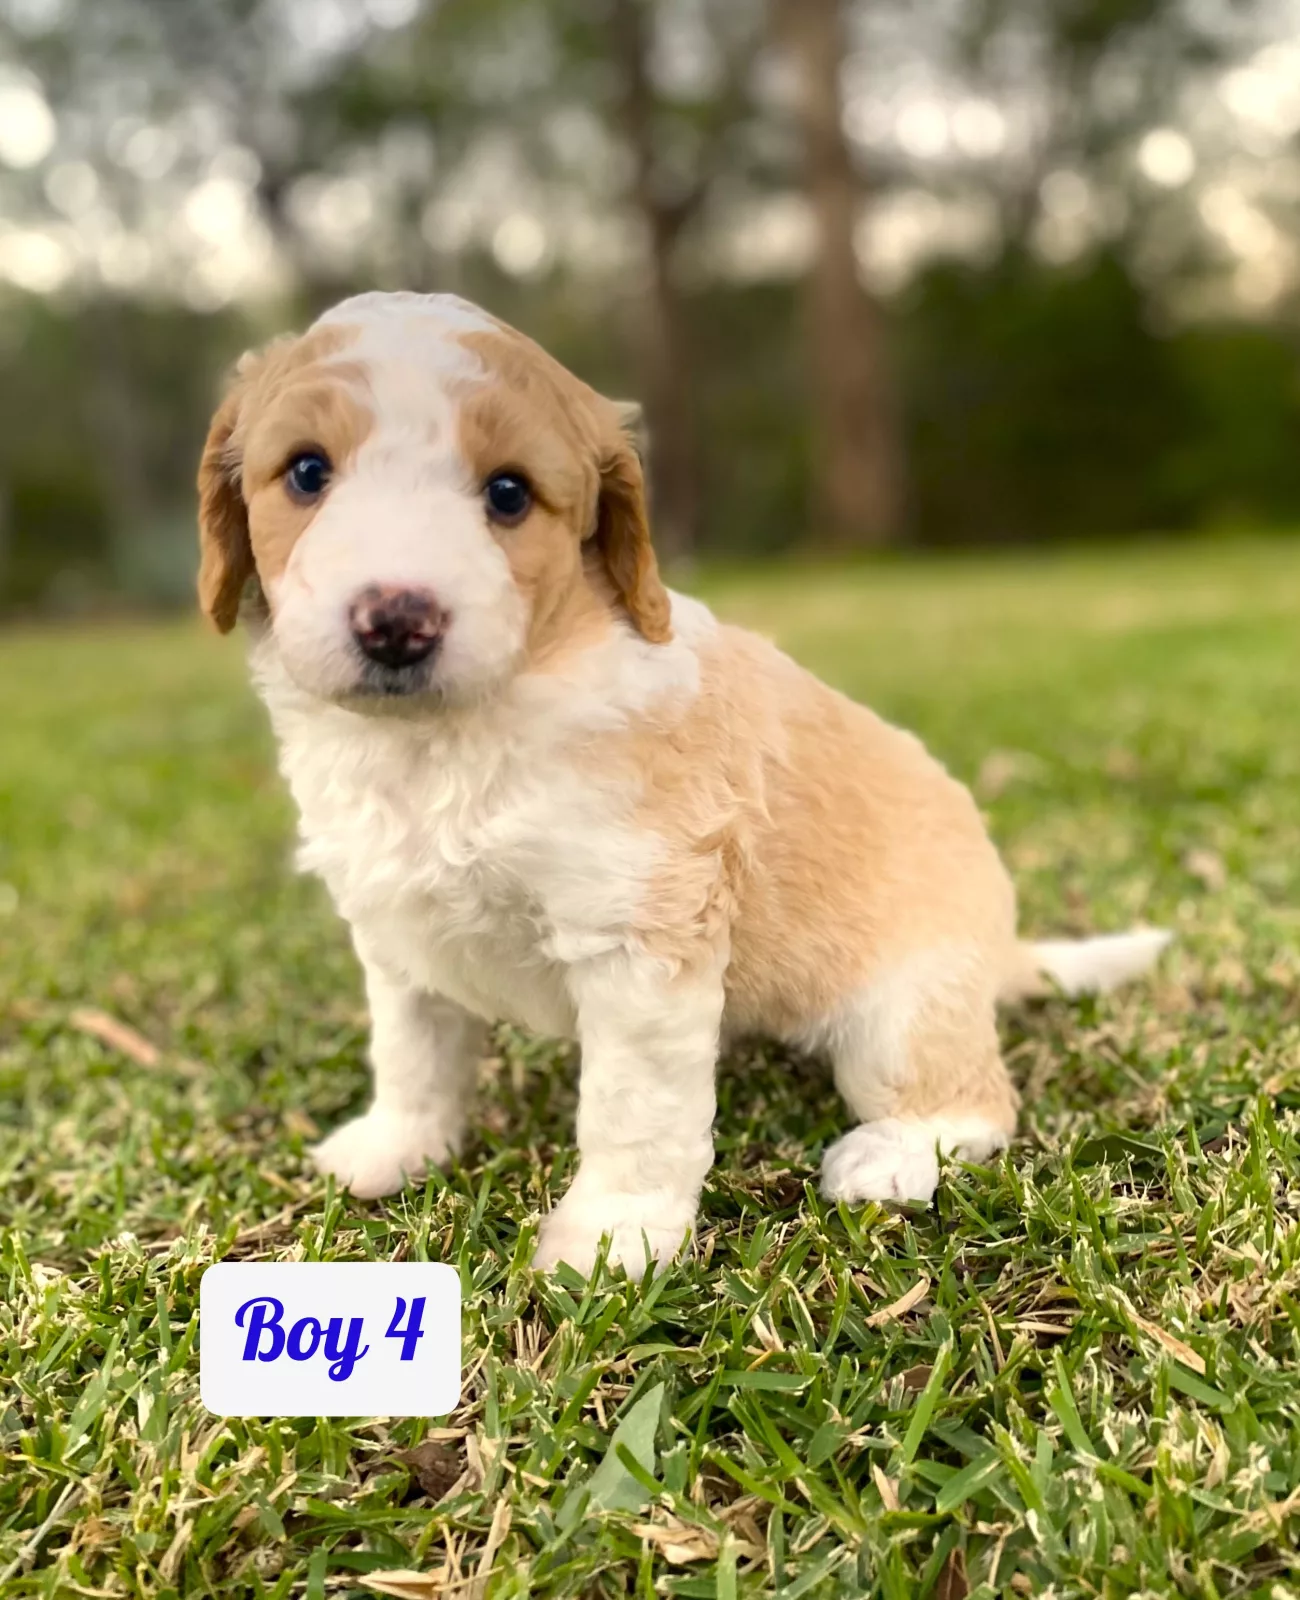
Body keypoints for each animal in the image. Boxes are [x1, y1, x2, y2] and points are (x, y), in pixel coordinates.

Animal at [196, 290, 1169, 1274]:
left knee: (974, 1101)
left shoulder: (640, 939)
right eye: (307, 472)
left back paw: (891, 1157)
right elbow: (413, 1055)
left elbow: (633, 1111)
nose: (397, 620)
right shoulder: (397, 937)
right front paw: (397, 1147)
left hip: (901, 1011)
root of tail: (999, 947)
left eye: (508, 493)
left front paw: (609, 1240)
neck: (448, 739)